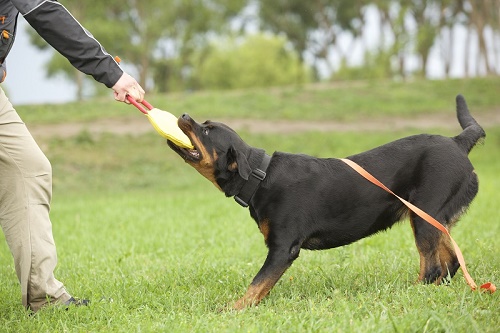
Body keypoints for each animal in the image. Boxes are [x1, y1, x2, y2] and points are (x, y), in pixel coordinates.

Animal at [167, 94, 484, 308]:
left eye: (206, 130)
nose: (183, 114)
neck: (260, 177)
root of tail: (458, 142)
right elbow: (261, 287)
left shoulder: (283, 249)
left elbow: (255, 286)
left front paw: (231, 311)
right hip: (435, 218)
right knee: (450, 262)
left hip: (424, 214)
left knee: (432, 266)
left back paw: (412, 292)